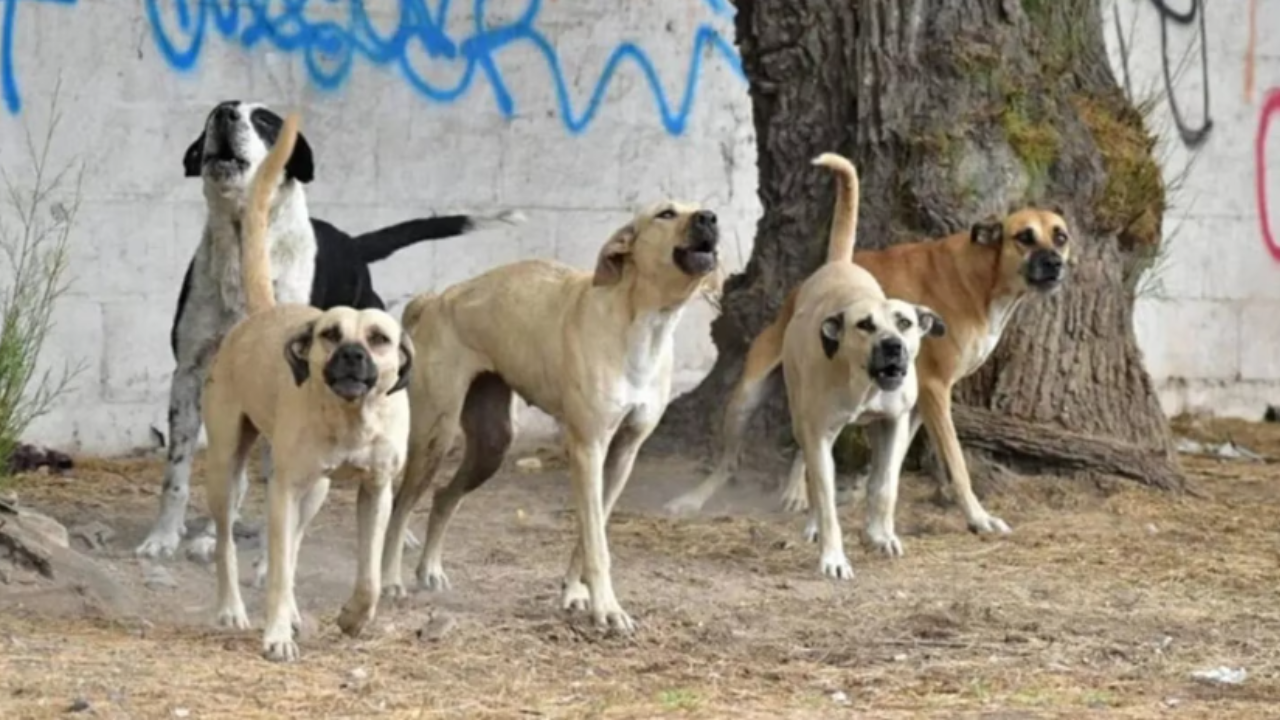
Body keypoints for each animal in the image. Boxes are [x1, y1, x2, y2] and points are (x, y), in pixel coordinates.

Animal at [136, 101, 519, 558]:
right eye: (213, 113)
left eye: (265, 121)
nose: (226, 115)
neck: (245, 248)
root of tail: (354, 244)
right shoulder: (190, 373)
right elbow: (177, 471)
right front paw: (163, 536)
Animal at [378, 198, 721, 630]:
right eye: (666, 214)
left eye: (702, 208)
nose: (711, 218)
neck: (643, 324)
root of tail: (437, 299)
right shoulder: (588, 449)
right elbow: (596, 543)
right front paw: (607, 608)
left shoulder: (623, 454)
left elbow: (591, 533)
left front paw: (576, 594)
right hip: (433, 438)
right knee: (400, 506)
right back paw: (390, 580)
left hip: (491, 446)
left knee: (442, 497)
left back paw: (430, 570)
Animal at [665, 188, 1075, 535]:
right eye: (1024, 237)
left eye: (1060, 236)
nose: (1055, 263)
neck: (982, 275)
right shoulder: (936, 391)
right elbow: (957, 464)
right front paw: (978, 518)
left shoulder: (915, 402)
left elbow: (893, 459)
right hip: (747, 396)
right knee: (730, 461)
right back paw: (695, 499)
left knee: (806, 442)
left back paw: (798, 490)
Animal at [773, 151, 947, 576]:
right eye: (864, 325)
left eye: (905, 322)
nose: (893, 346)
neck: (863, 384)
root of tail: (838, 264)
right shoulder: (818, 433)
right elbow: (825, 497)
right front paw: (834, 557)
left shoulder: (894, 422)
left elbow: (884, 485)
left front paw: (880, 536)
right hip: (802, 415)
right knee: (812, 472)